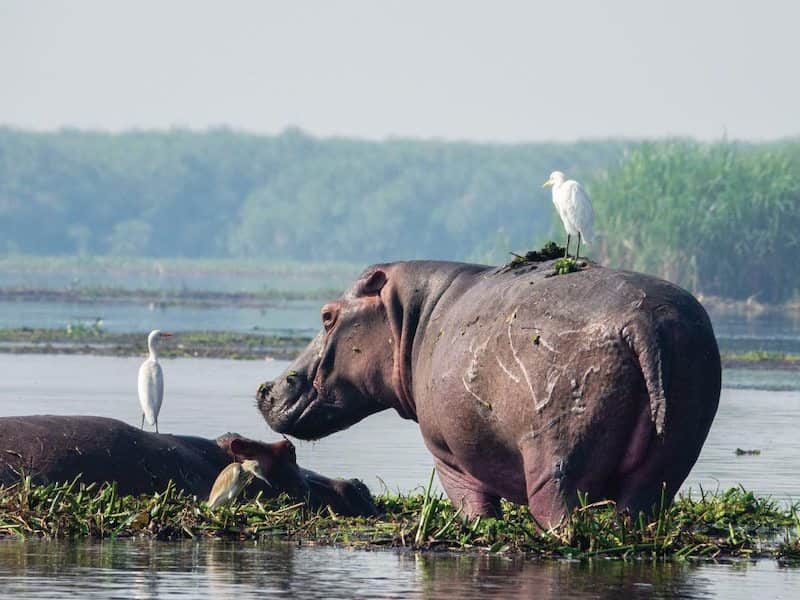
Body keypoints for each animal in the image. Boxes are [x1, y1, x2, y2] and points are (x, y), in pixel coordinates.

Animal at [260, 256, 720, 524]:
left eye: (327, 315)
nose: (266, 388)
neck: (411, 316)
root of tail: (643, 323)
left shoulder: (447, 452)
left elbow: (474, 507)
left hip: (557, 459)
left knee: (559, 510)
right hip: (669, 461)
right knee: (640, 505)